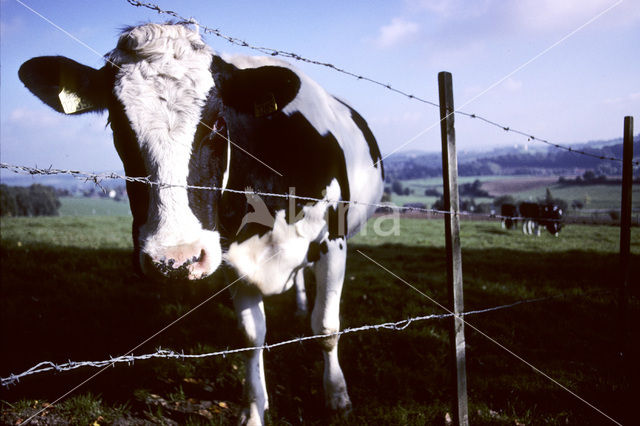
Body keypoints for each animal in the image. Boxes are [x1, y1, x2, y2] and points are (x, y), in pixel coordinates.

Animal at [17, 24, 382, 426]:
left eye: (219, 123)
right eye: (117, 125)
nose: (176, 258)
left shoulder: (333, 241)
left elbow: (326, 328)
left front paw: (337, 397)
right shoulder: (235, 259)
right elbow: (251, 337)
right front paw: (254, 410)